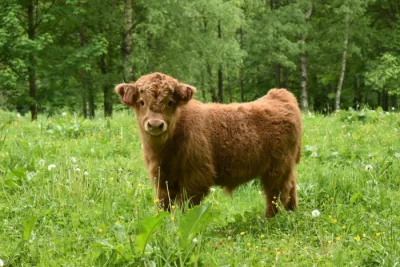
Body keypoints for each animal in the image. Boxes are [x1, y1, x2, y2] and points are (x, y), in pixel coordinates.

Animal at [114, 73, 302, 218]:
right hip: (285, 168)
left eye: (170, 102)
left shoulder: (196, 176)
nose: (155, 124)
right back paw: (292, 212)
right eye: (141, 102)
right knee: (291, 187)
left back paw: (270, 219)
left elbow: (187, 206)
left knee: (276, 194)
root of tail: (280, 95)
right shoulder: (162, 178)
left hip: (277, 168)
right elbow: (164, 204)